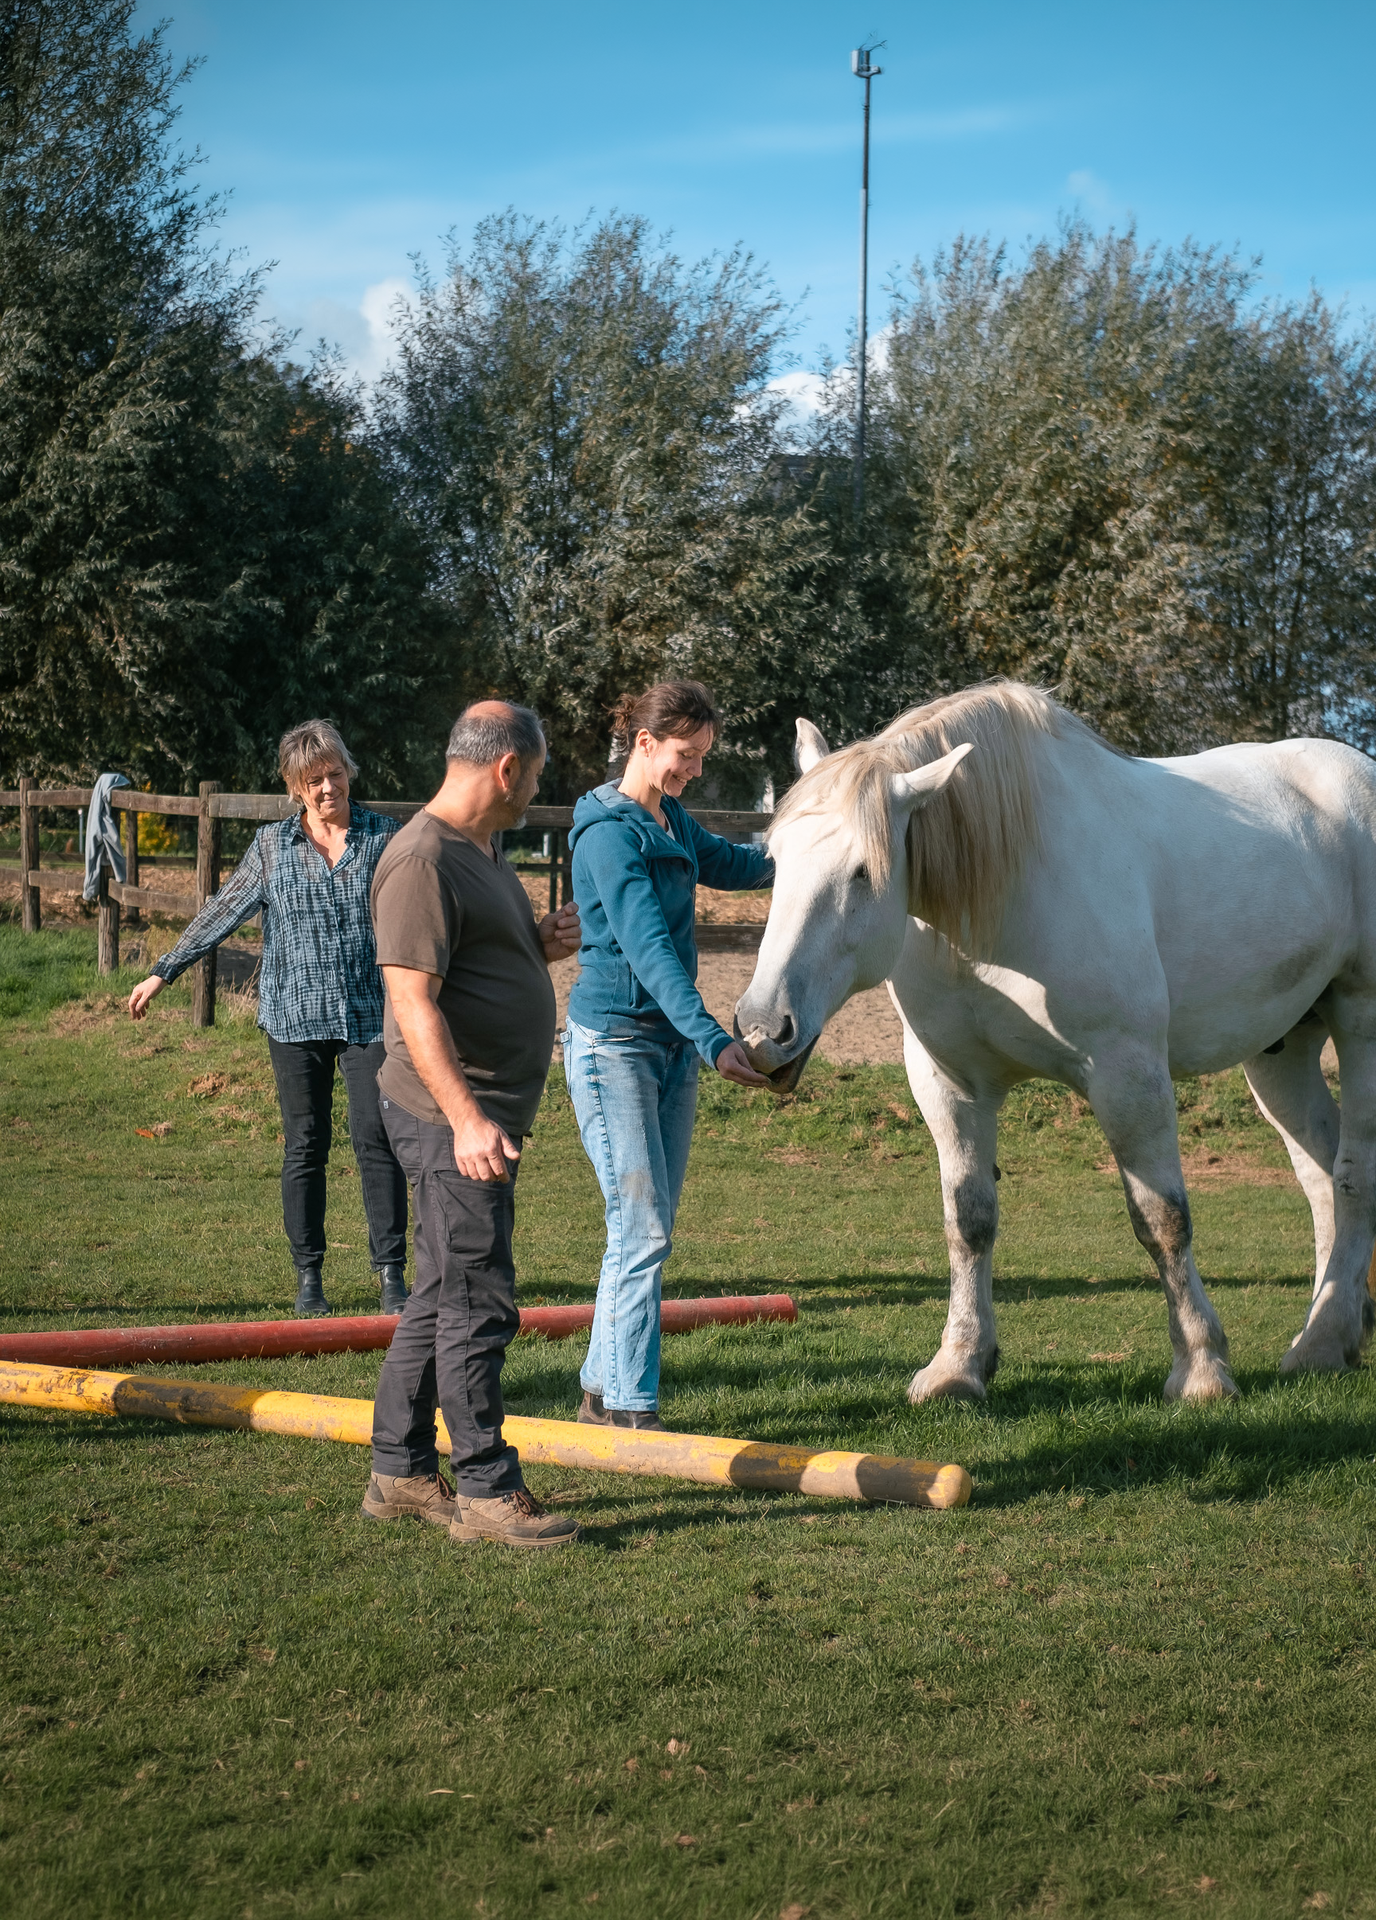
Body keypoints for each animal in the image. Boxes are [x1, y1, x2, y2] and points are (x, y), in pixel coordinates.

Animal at [734, 681, 1376, 1404]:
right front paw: (959, 1365)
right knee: (1321, 1176)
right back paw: (1334, 1330)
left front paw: (1202, 1368)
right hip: (1280, 1051)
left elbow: (1162, 1218)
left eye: (864, 872)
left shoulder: (1128, 1075)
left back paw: (1322, 1339)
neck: (1003, 902)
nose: (763, 1029)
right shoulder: (949, 1085)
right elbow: (969, 1220)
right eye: (776, 861)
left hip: (1360, 1019)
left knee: (1354, 1174)